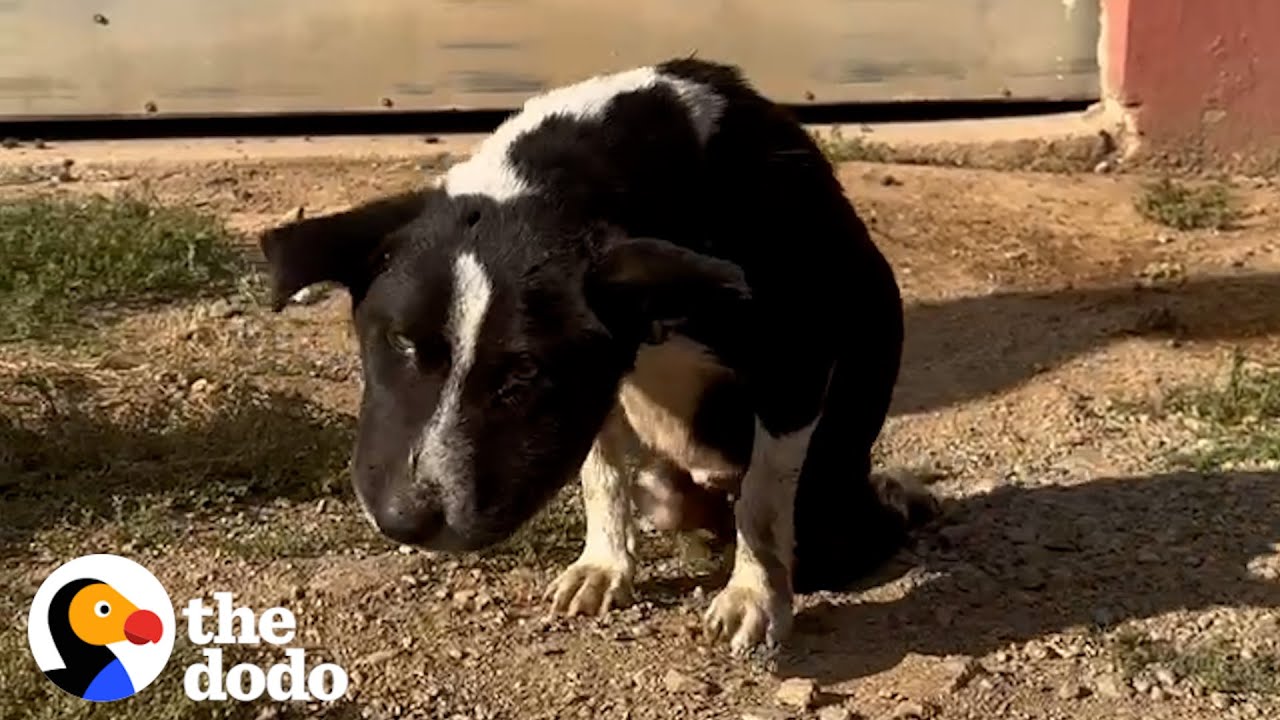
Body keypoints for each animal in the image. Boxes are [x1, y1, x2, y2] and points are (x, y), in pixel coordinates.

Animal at [262, 54, 942, 650]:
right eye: (400, 340)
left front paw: (752, 597)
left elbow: (763, 500)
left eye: (527, 368)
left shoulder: (795, 364)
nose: (404, 520)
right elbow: (603, 474)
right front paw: (605, 567)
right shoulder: (602, 388)